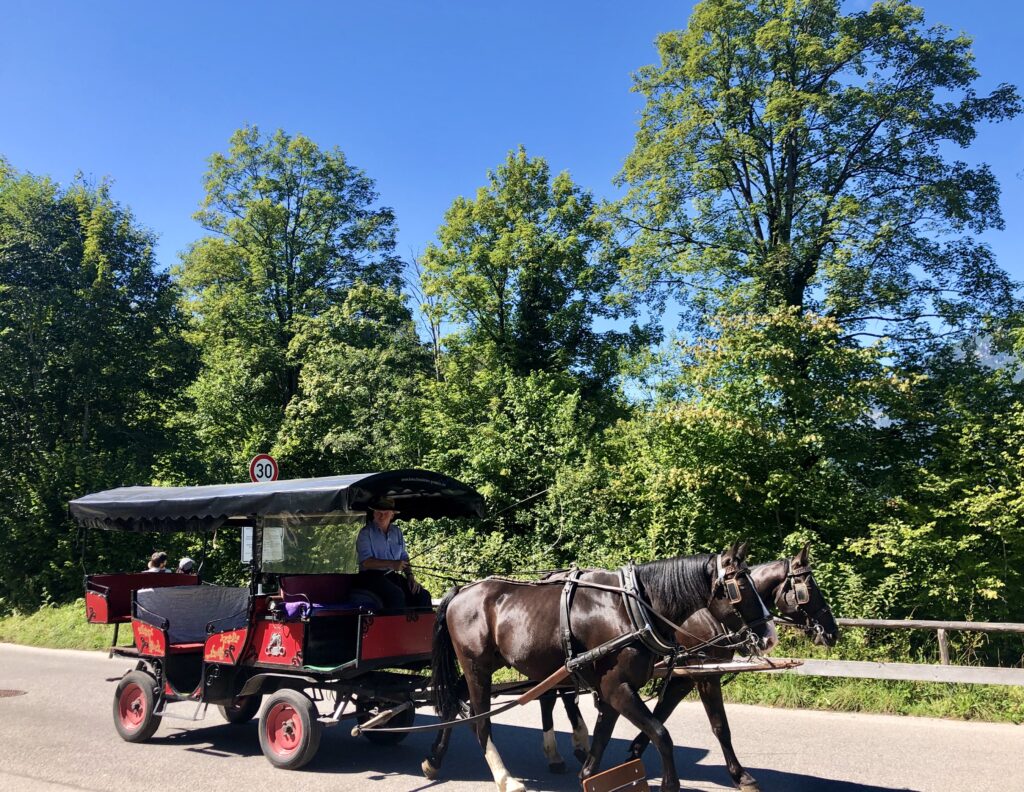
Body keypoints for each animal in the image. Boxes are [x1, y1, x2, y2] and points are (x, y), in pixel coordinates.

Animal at [421, 540, 774, 790]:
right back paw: (505, 778)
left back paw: (433, 761)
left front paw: (587, 771)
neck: (631, 609)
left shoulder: (613, 687)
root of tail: (460, 592)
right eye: (741, 587)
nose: (770, 635)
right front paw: (670, 783)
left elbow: (605, 734)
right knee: (481, 721)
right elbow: (662, 733)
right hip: (476, 668)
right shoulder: (618, 686)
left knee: (455, 704)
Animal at [540, 545, 835, 790]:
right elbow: (718, 726)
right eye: (808, 589)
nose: (833, 632)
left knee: (558, 697)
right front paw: (742, 776)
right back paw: (557, 755)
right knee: (548, 699)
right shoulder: (701, 675)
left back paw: (576, 746)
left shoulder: (685, 676)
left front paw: (634, 750)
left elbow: (661, 714)